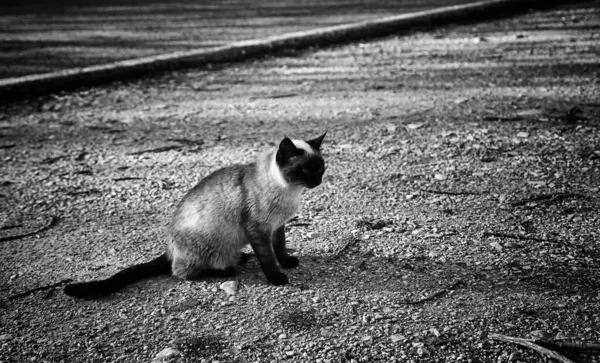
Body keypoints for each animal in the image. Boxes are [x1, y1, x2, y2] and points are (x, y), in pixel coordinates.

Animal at [64, 134, 328, 298]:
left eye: (321, 168)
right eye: (306, 170)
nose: (318, 181)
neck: (290, 192)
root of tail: (170, 248)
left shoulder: (277, 226)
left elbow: (280, 249)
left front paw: (288, 263)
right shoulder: (259, 231)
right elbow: (268, 258)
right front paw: (277, 278)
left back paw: (240, 258)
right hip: (202, 246)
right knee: (180, 272)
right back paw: (225, 270)